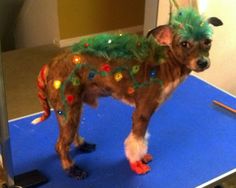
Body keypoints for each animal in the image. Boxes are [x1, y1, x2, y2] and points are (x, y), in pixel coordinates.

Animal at [32, 6, 222, 179]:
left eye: (208, 41)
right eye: (184, 44)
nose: (203, 62)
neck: (164, 66)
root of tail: (50, 65)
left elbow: (141, 138)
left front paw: (142, 156)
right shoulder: (142, 112)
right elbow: (136, 141)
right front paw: (136, 163)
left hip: (75, 107)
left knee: (70, 135)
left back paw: (81, 145)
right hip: (67, 109)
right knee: (60, 145)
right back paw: (71, 168)